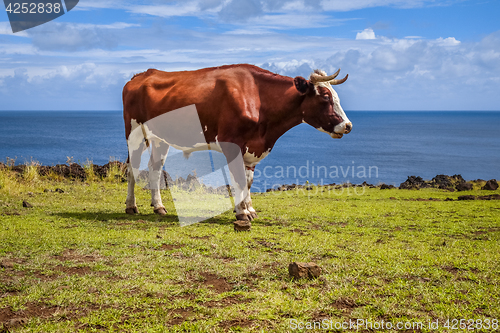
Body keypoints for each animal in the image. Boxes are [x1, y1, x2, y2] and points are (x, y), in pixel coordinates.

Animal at [122, 64, 350, 220]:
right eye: (325, 96)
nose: (348, 126)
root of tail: (140, 75)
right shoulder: (232, 143)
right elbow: (238, 180)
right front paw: (242, 212)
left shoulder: (252, 148)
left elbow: (248, 181)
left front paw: (249, 208)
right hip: (134, 132)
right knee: (132, 167)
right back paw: (131, 206)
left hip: (161, 139)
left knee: (155, 168)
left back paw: (158, 206)